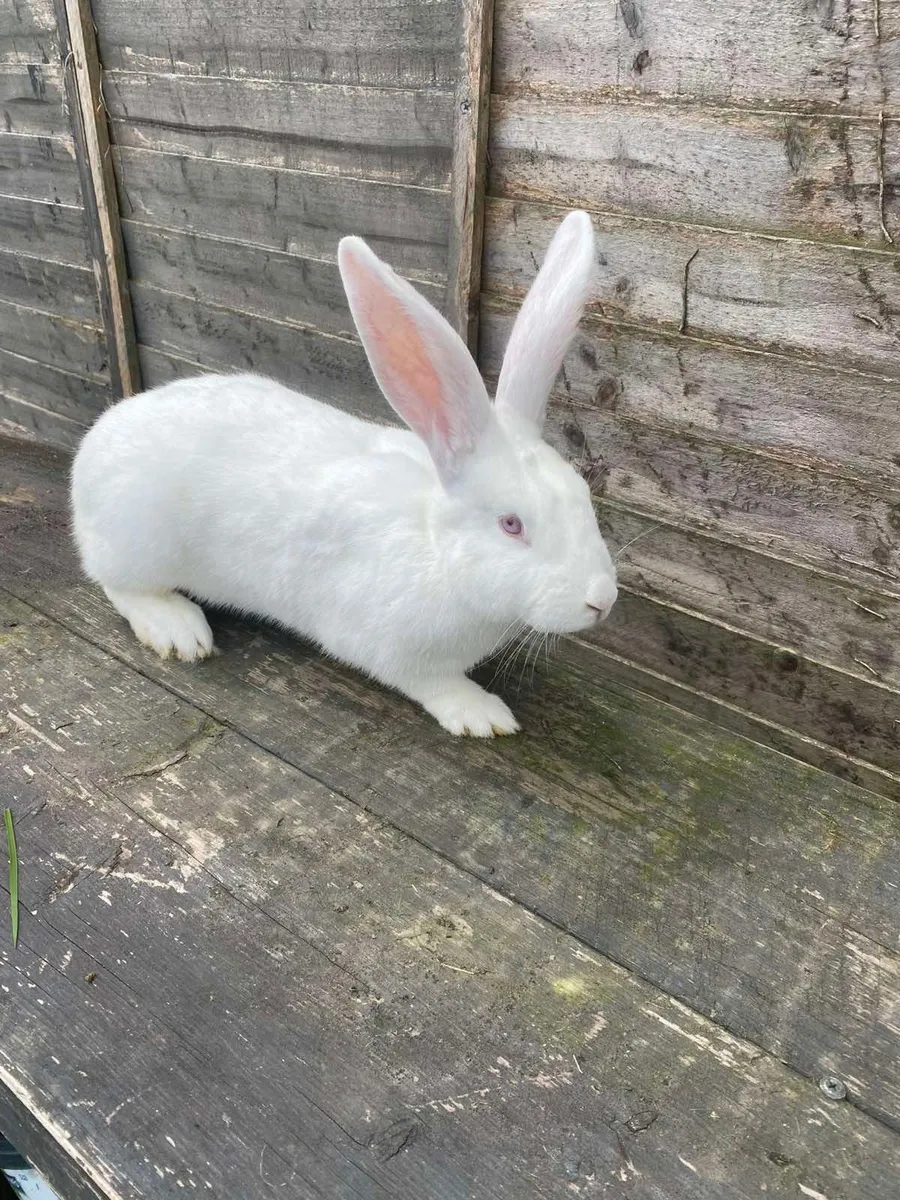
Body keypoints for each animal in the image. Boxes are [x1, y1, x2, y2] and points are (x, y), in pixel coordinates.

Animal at [70, 209, 617, 737]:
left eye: (583, 497)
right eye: (511, 524)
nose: (602, 600)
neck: (437, 552)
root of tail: (92, 448)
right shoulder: (389, 647)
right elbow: (433, 683)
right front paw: (481, 714)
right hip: (138, 545)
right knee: (116, 585)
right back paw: (178, 629)